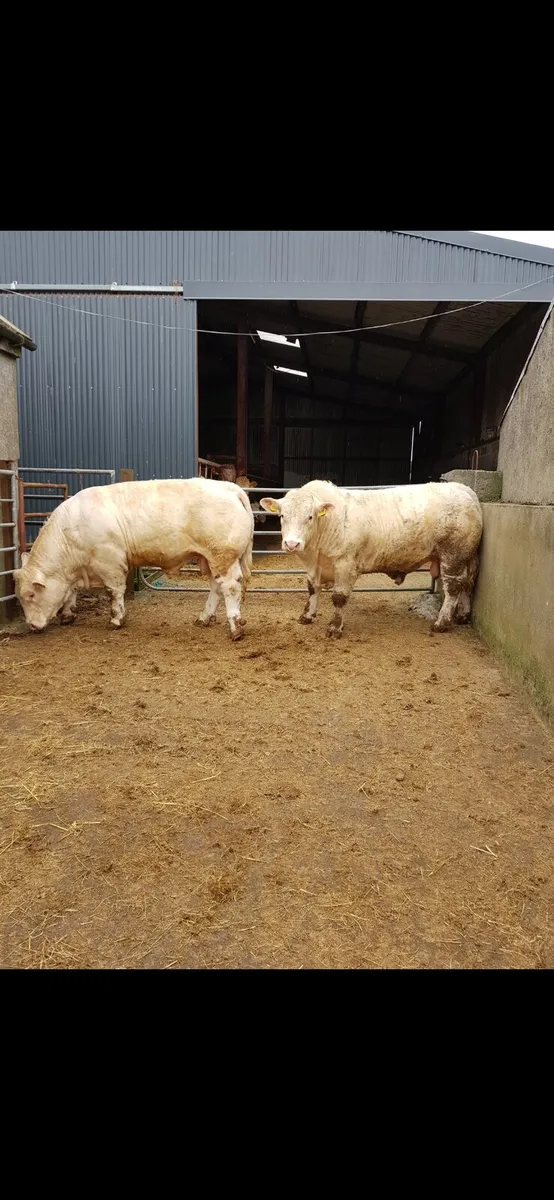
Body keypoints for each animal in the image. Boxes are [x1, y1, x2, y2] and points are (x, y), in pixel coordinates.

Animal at [13, 477, 254, 641]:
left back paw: (235, 627)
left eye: (31, 594)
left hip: (223, 555)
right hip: (213, 557)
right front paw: (68, 615)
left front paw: (116, 619)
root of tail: (229, 487)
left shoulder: (109, 561)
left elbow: (114, 591)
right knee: (216, 587)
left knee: (230, 587)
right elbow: (71, 591)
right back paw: (203, 618)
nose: (31, 626)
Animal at [259, 480, 483, 638]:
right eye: (282, 516)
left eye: (310, 517)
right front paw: (307, 616)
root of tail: (463, 489)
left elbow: (338, 597)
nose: (291, 544)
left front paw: (334, 627)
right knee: (468, 583)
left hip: (453, 555)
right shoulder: (316, 568)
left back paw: (441, 623)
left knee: (453, 588)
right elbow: (313, 589)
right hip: (465, 558)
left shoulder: (346, 565)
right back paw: (462, 616)